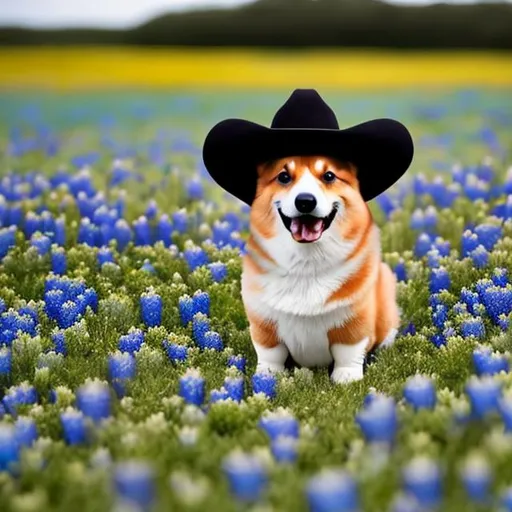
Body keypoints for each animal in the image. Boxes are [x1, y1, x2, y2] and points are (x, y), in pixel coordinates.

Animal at [202, 89, 414, 384]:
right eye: (283, 176)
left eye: (329, 176)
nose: (305, 201)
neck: (306, 262)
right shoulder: (264, 323)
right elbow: (270, 353)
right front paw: (266, 377)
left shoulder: (354, 322)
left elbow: (349, 352)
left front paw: (346, 379)